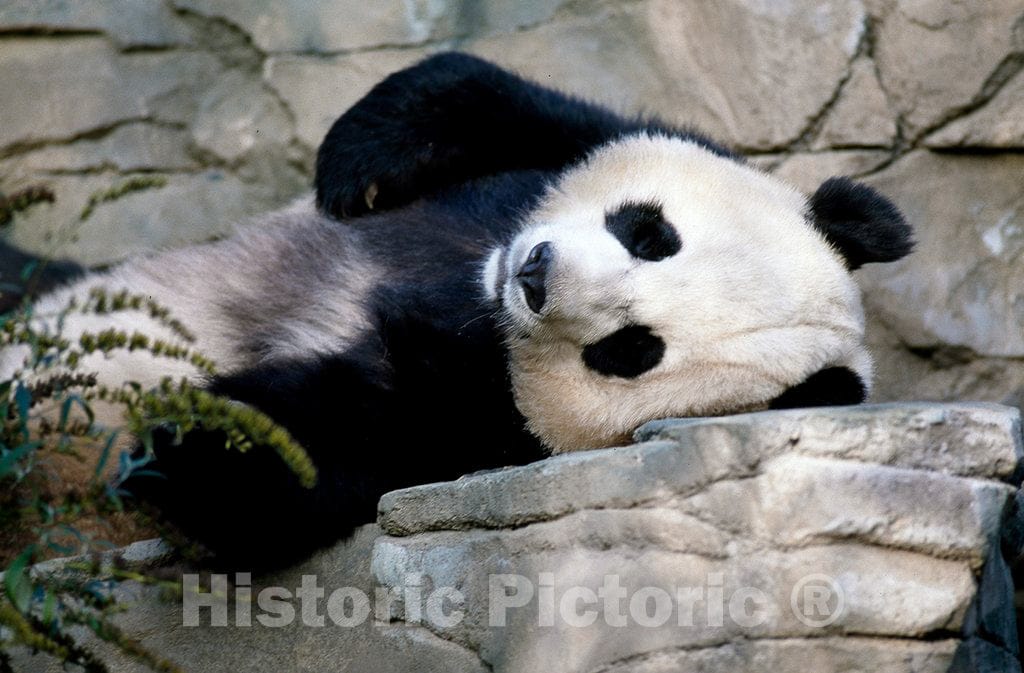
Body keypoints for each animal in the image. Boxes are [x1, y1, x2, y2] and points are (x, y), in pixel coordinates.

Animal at [1, 53, 912, 567]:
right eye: (650, 233)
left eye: (630, 349)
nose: (536, 274)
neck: (471, 289)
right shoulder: (562, 150)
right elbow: (497, 99)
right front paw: (356, 163)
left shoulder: (471, 430)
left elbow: (315, 458)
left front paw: (181, 433)